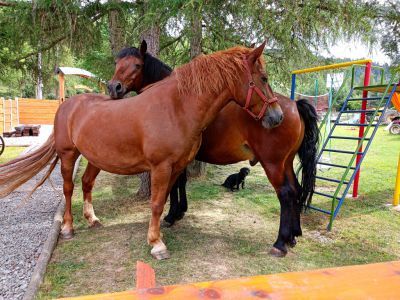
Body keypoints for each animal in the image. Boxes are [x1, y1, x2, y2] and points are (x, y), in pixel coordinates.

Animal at [0, 42, 282, 260]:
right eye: (264, 79)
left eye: (136, 65)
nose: (277, 116)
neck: (177, 107)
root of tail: (67, 104)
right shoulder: (161, 167)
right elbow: (156, 203)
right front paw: (157, 245)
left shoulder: (176, 167)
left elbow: (164, 200)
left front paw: (161, 230)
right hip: (69, 155)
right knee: (69, 189)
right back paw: (69, 228)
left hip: (95, 159)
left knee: (87, 183)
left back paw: (92, 219)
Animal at [107, 39, 318, 256]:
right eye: (117, 64)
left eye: (137, 65)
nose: (114, 87)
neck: (178, 102)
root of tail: (293, 105)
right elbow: (181, 183)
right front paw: (180, 211)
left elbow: (174, 185)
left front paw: (172, 215)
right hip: (286, 162)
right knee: (296, 190)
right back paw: (294, 235)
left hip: (273, 163)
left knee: (285, 193)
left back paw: (280, 243)